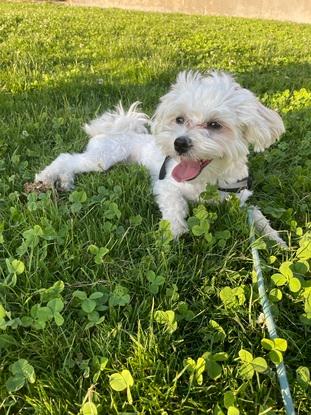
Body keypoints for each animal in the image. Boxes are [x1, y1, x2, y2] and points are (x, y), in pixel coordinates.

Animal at [34, 71, 288, 245]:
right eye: (180, 119)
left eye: (215, 125)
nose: (179, 143)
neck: (206, 181)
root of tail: (116, 128)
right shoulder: (165, 186)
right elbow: (176, 206)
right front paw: (173, 233)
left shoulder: (240, 200)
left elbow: (257, 215)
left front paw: (276, 241)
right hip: (103, 158)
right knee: (65, 158)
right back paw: (46, 177)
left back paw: (65, 181)